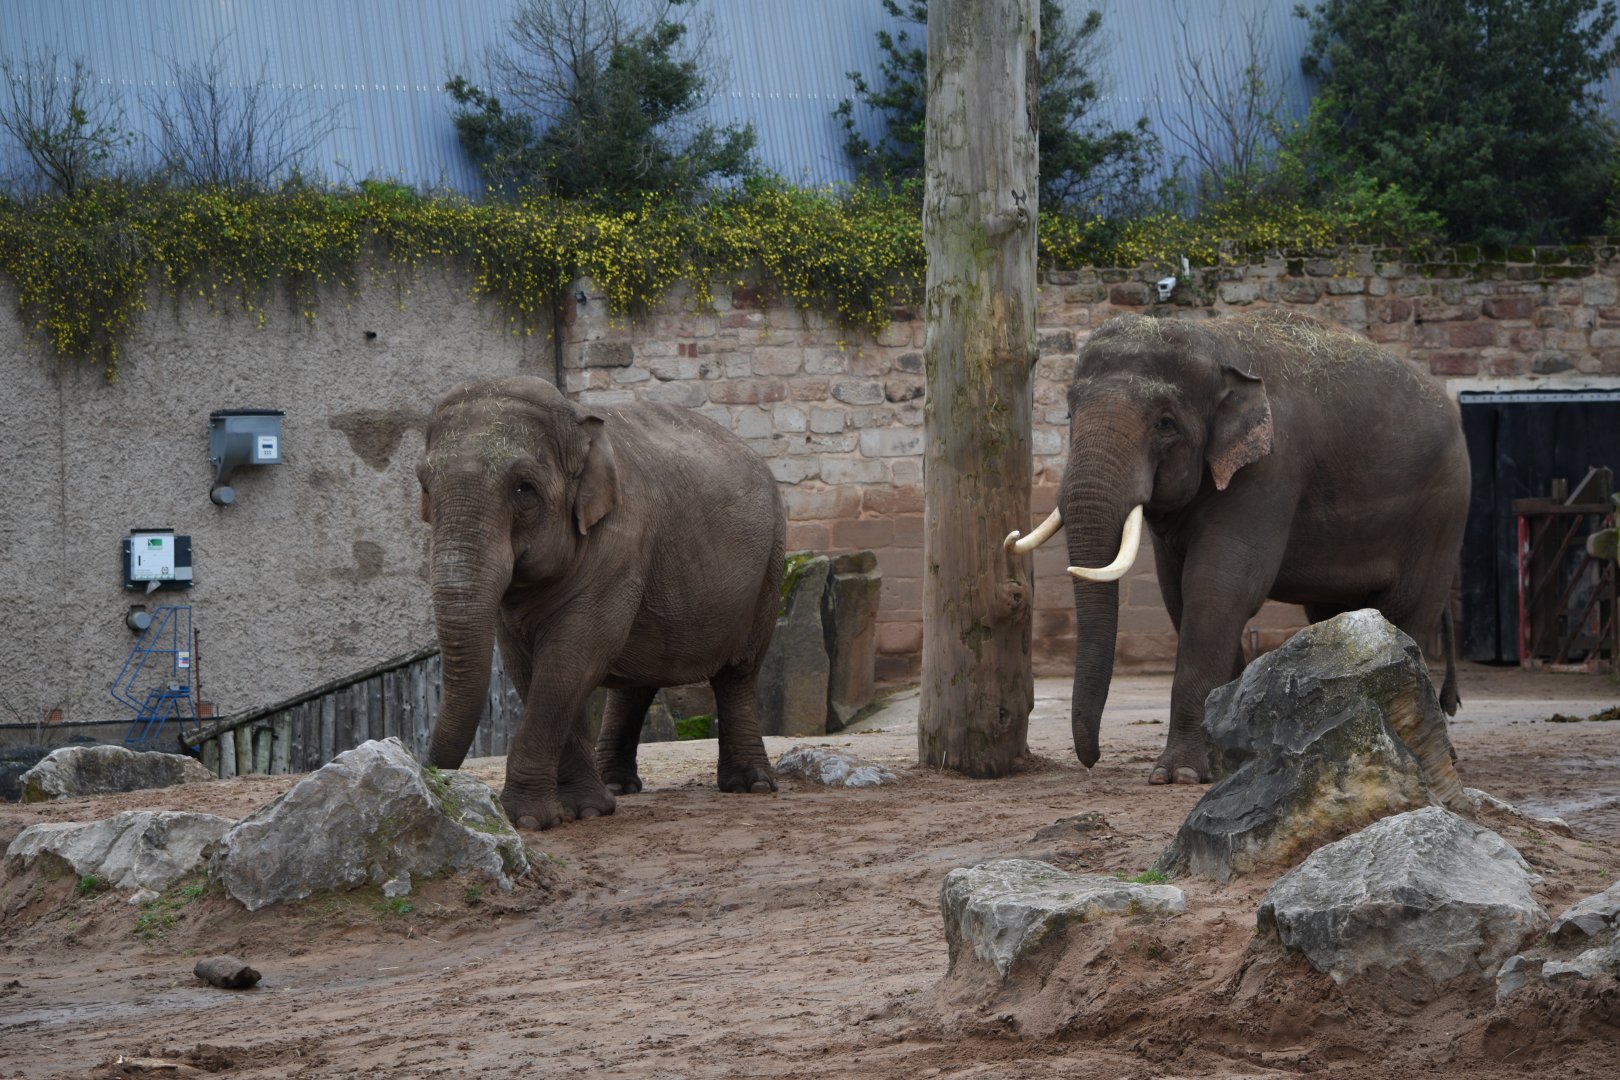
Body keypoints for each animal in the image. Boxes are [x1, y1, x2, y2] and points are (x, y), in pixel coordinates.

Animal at [417, 375, 785, 829]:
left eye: (524, 489)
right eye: (424, 486)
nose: (435, 781)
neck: (578, 423)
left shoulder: (621, 542)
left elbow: (572, 655)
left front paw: (530, 820)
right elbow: (530, 665)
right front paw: (584, 810)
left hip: (770, 564)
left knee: (738, 672)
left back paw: (751, 785)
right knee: (638, 680)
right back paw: (617, 787)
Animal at [1005, 311, 1469, 784]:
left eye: (1165, 423)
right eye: (1068, 411)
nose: (1091, 761)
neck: (1215, 343)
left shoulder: (1270, 469)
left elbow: (1218, 591)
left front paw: (1178, 774)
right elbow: (1179, 595)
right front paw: (1224, 759)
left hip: (1443, 510)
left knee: (1407, 610)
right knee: (1337, 613)